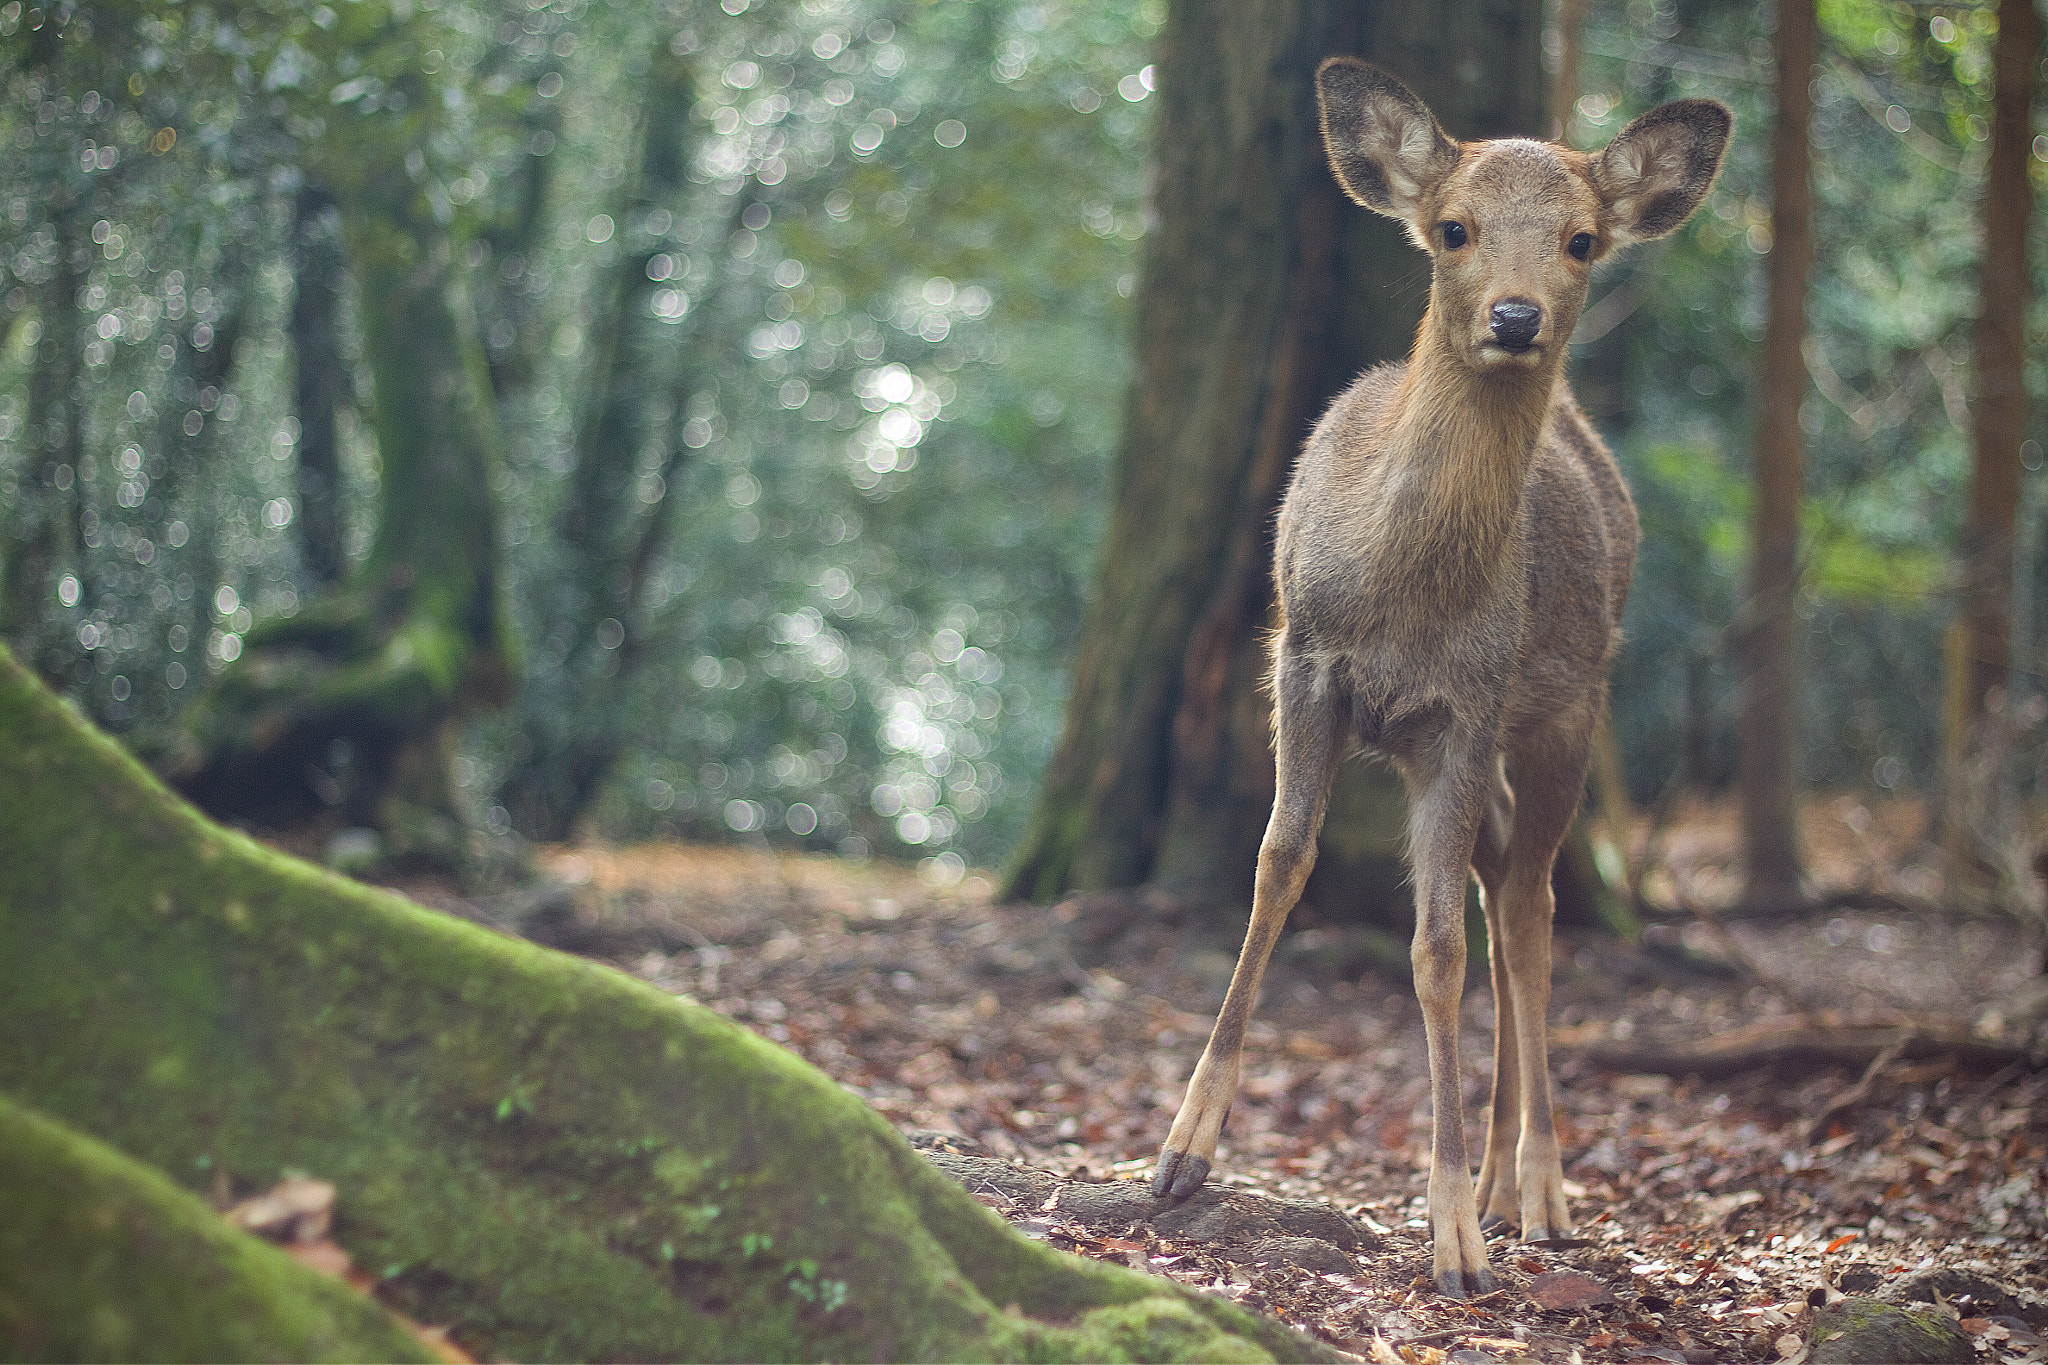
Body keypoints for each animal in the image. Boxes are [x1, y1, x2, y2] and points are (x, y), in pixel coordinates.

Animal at [1155, 58, 1728, 1301]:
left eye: (1578, 239)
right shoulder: (1300, 657)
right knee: (1504, 878)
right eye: (1451, 228)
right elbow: (1276, 865)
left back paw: (1535, 1189)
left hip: (1566, 704)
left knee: (1525, 909)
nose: (1512, 317)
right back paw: (1510, 1181)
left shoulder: (1464, 709)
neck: (1401, 596)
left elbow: (1434, 951)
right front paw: (1180, 1149)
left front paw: (1453, 1229)